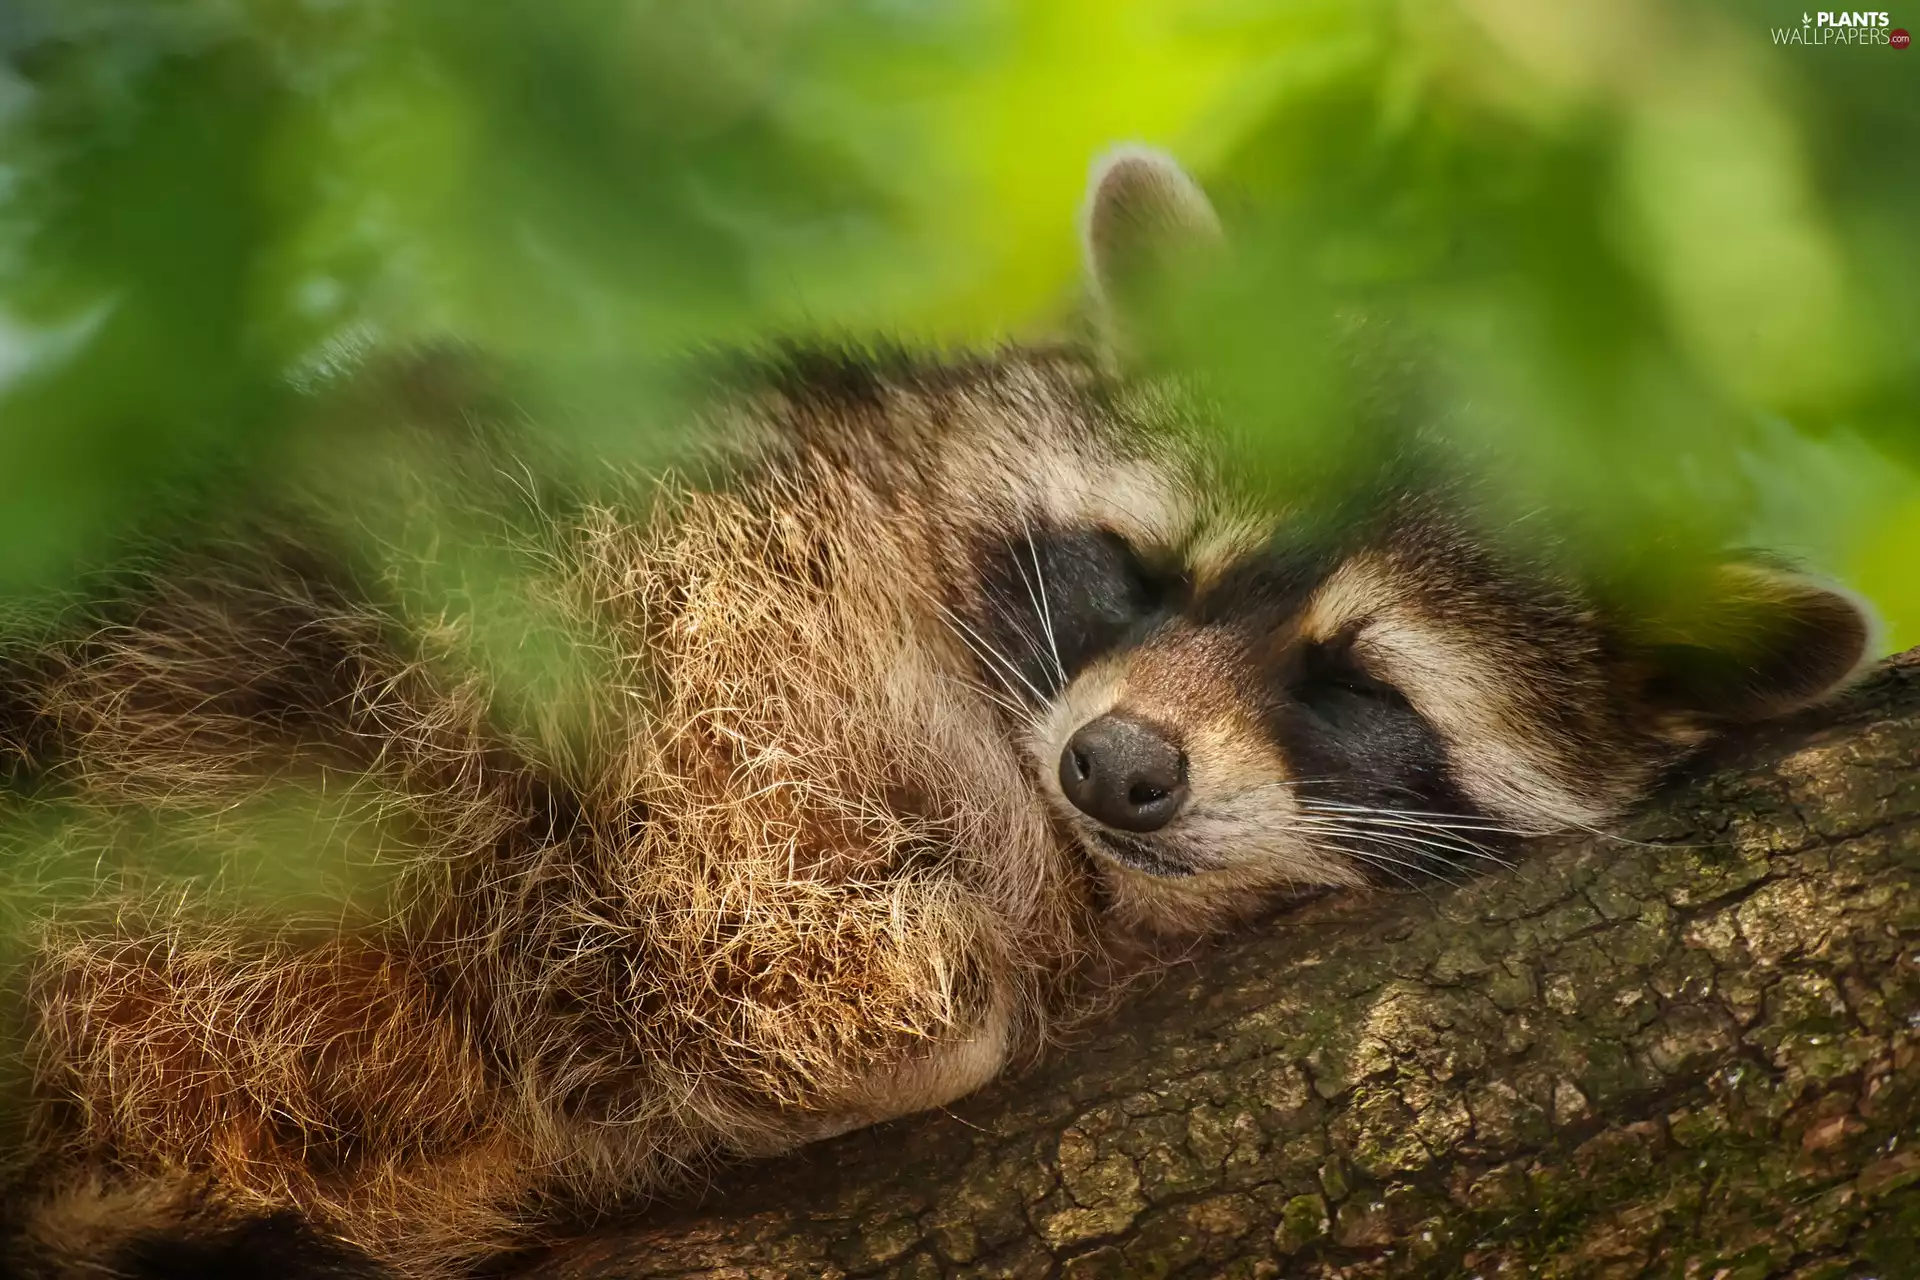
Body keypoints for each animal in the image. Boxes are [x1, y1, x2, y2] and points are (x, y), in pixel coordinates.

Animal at [0, 150, 1871, 1279]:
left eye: (1353, 687)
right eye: (1151, 568)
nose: (1118, 769)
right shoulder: (721, 560)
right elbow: (730, 855)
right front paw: (902, 1001)